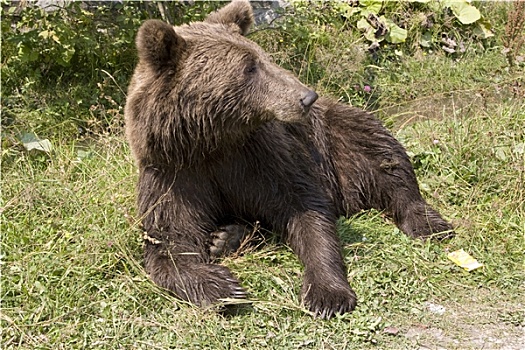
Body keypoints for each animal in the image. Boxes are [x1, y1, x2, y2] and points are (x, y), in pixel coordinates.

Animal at [125, 0, 452, 320]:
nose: (307, 97)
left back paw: (427, 223)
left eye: (263, 58)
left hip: (341, 137)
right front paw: (222, 286)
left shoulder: (263, 157)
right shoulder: (175, 174)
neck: (213, 142)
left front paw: (327, 294)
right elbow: (170, 241)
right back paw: (227, 237)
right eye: (249, 67)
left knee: (386, 162)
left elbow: (307, 210)